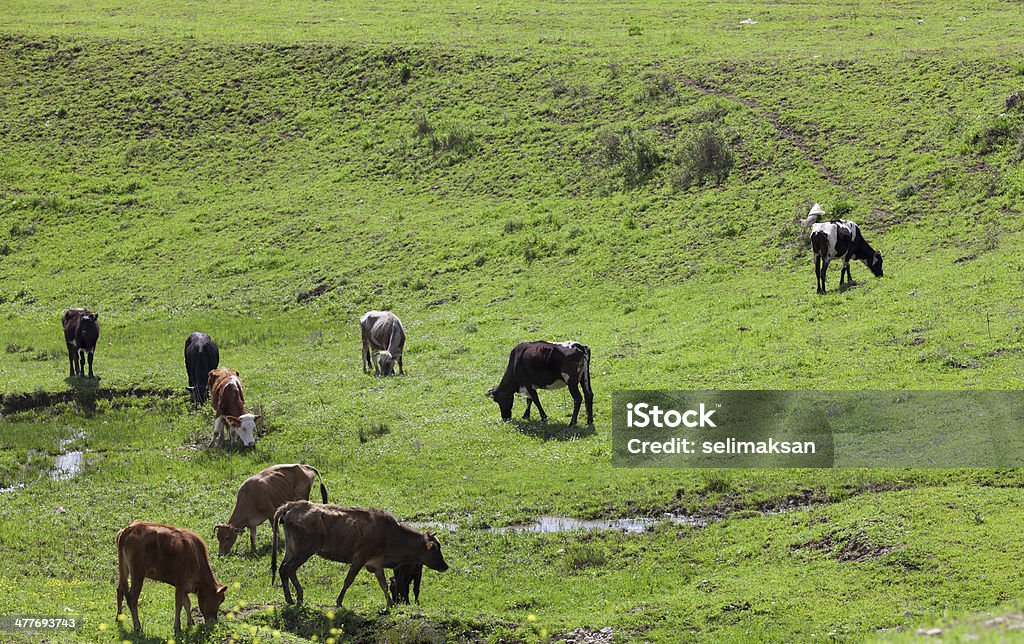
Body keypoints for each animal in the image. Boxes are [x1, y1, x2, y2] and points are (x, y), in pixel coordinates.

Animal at [272, 499, 448, 610]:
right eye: (435, 549)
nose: (445, 566)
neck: (391, 534)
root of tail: (290, 506)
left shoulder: (376, 564)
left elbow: (383, 584)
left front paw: (390, 604)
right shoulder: (360, 559)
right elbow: (348, 580)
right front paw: (339, 602)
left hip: (291, 549)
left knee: (283, 568)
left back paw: (293, 597)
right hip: (303, 550)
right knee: (288, 569)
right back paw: (295, 597)